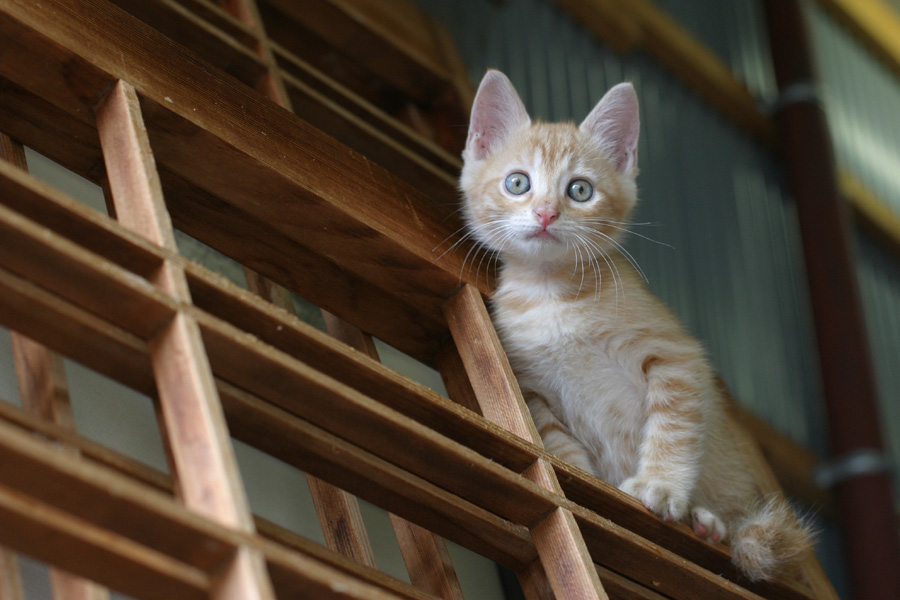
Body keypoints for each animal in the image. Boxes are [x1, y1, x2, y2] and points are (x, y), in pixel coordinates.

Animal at [460, 70, 812, 580]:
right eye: (517, 182)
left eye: (580, 190)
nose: (546, 213)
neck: (552, 296)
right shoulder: (533, 389)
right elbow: (559, 443)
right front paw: (583, 482)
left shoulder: (675, 355)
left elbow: (673, 427)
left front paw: (661, 487)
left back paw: (710, 524)